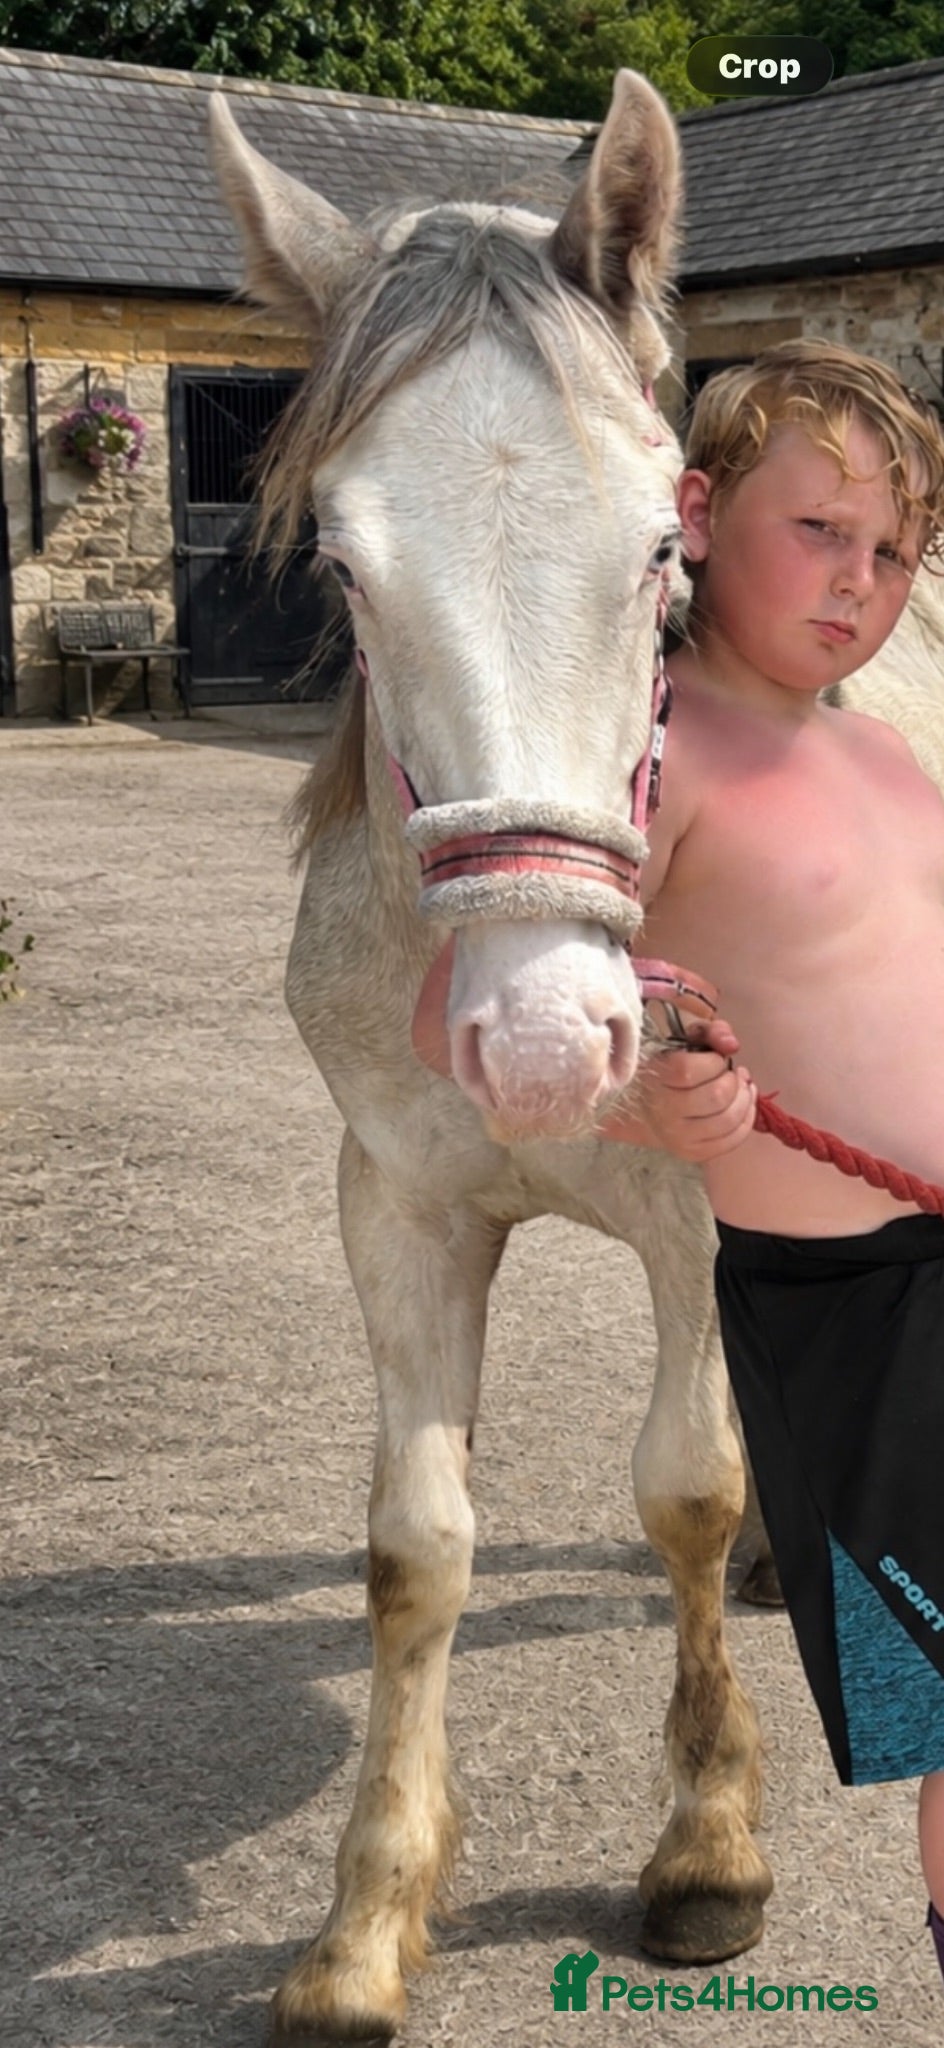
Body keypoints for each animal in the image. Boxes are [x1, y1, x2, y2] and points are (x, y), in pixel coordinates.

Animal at [210, 71, 944, 2045]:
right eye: (341, 567)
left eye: (662, 549)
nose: (544, 1038)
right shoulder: (396, 1206)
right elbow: (415, 1545)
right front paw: (363, 1925)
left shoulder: (704, 1210)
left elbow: (683, 1485)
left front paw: (706, 1851)